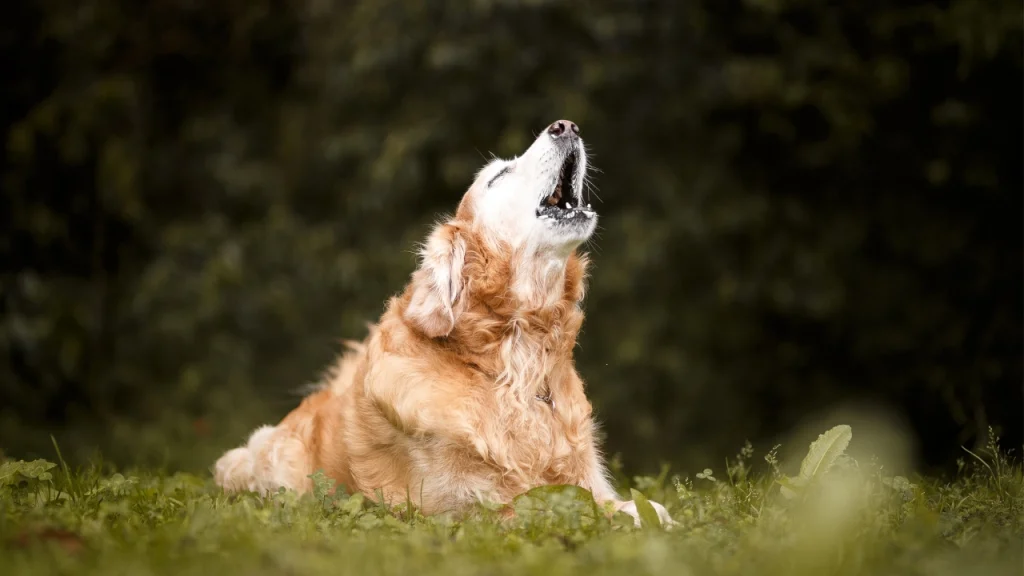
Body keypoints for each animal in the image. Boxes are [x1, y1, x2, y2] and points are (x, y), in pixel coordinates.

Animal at [212, 117, 675, 524]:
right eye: (499, 176)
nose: (567, 126)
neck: (513, 363)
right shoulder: (464, 507)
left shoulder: (586, 479)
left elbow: (638, 505)